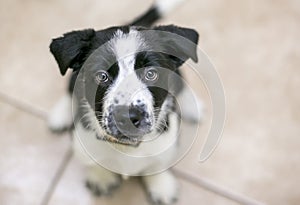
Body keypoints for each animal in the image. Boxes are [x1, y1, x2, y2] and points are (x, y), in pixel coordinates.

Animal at [47, 0, 202, 204]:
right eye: (101, 76)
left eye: (151, 73)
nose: (127, 117)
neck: (127, 148)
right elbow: (92, 159)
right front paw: (101, 176)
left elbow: (159, 163)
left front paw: (161, 184)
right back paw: (60, 114)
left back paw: (193, 106)